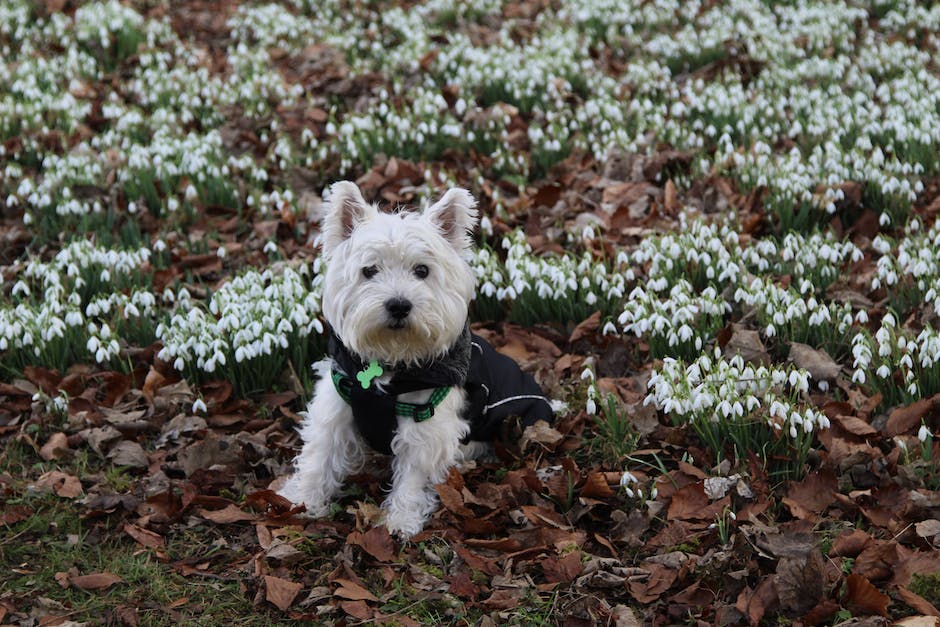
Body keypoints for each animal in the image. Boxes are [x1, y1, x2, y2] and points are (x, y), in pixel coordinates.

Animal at [282, 180, 556, 536]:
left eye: (422, 270)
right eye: (369, 270)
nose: (399, 305)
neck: (388, 364)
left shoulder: (426, 425)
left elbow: (413, 477)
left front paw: (402, 520)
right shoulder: (337, 405)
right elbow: (320, 456)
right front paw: (301, 500)